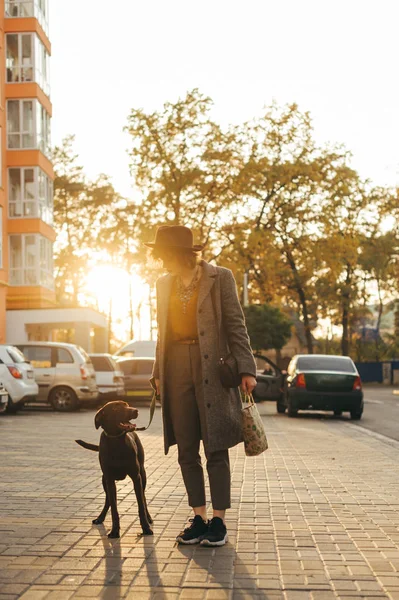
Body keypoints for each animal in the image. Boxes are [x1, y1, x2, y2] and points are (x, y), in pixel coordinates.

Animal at [76, 400, 152, 536]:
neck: (116, 441)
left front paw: (146, 527)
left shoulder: (136, 477)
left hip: (142, 475)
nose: (135, 410)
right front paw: (115, 530)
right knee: (108, 501)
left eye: (127, 405)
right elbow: (114, 508)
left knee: (143, 497)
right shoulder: (109, 479)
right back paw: (100, 517)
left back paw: (148, 517)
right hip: (104, 480)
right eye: (116, 409)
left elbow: (141, 505)